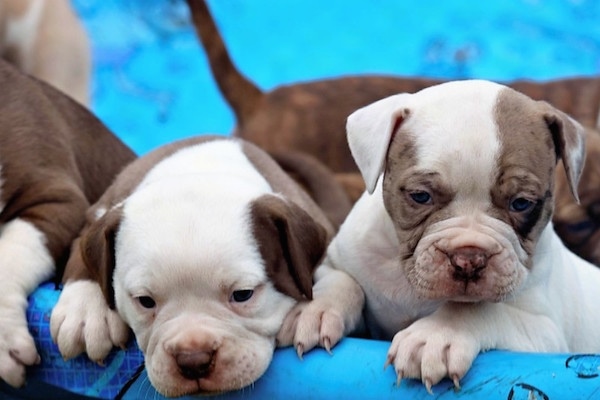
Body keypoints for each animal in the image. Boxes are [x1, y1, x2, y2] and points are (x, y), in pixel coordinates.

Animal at [50, 137, 360, 396]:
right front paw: (85, 314)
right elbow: (80, 256)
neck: (198, 169)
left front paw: (317, 311)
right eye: (145, 301)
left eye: (243, 294)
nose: (193, 360)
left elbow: (343, 275)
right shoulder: (98, 215)